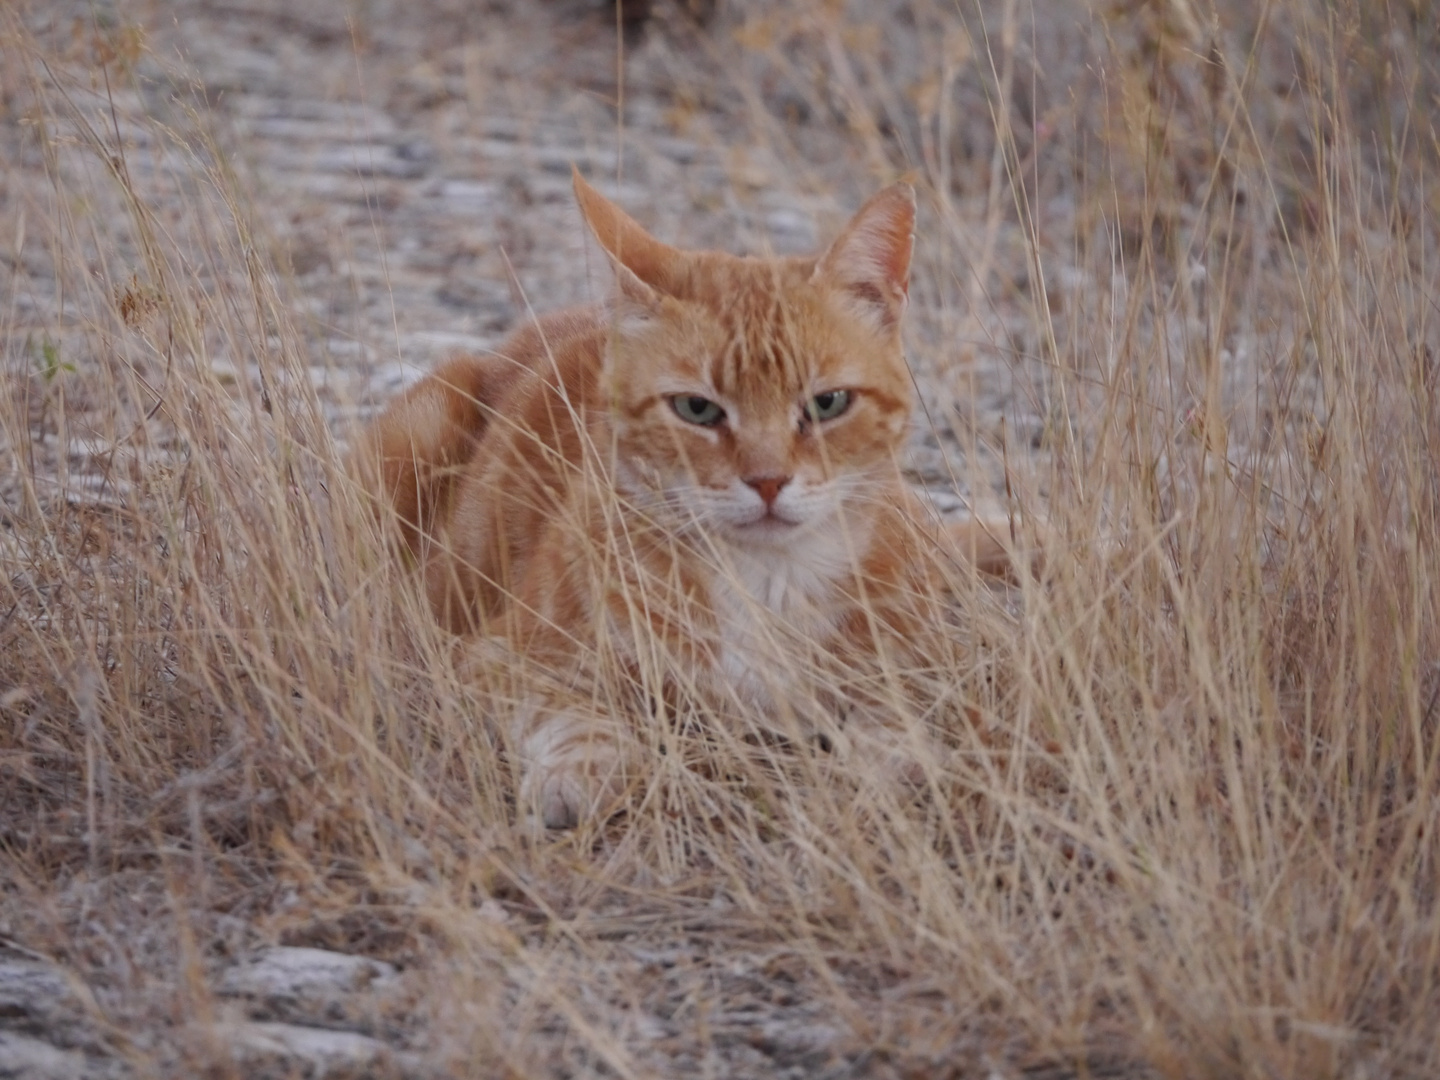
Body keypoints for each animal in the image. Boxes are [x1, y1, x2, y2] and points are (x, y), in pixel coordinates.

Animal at [358, 171, 1013, 829]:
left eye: (827, 403)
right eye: (697, 409)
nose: (768, 480)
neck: (766, 582)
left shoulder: (927, 666)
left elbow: (902, 725)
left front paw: (886, 770)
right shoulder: (497, 656)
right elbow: (574, 716)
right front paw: (579, 774)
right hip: (421, 429)